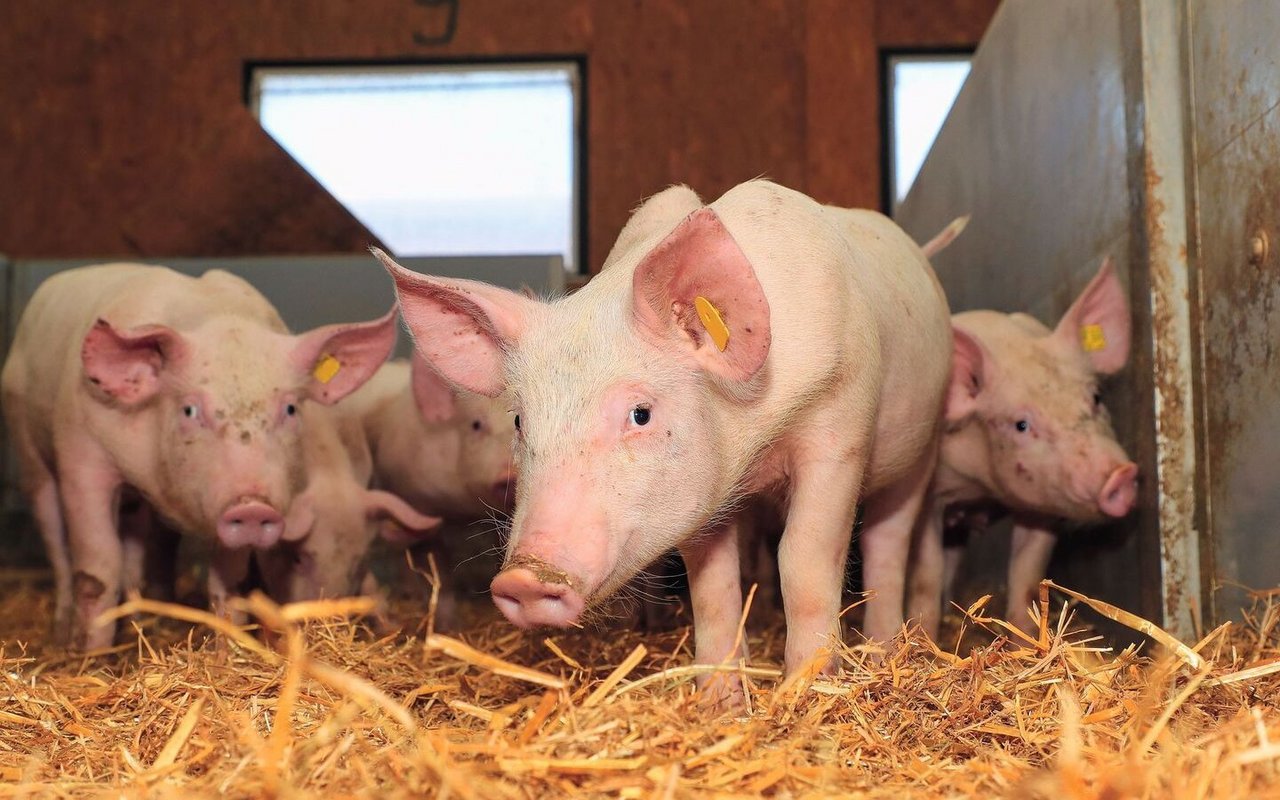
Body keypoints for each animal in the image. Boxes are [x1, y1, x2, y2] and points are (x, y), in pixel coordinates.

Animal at [0, 262, 396, 650]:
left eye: (291, 409)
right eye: (189, 410)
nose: (253, 507)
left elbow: (229, 581)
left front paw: (229, 653)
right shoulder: (82, 452)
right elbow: (97, 567)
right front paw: (92, 656)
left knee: (136, 545)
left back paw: (140, 620)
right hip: (27, 448)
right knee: (57, 541)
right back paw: (62, 634)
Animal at [373, 177, 957, 696]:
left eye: (640, 414)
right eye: (519, 421)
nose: (524, 579)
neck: (753, 431)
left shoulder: (839, 425)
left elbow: (804, 562)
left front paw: (803, 697)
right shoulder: (703, 493)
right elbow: (713, 586)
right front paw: (720, 707)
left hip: (922, 446)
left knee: (888, 542)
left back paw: (882, 653)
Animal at [906, 257, 1136, 637]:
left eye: (1096, 397)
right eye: (1021, 425)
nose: (1121, 475)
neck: (981, 487)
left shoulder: (1041, 506)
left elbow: (1027, 577)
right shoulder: (930, 496)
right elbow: (926, 576)